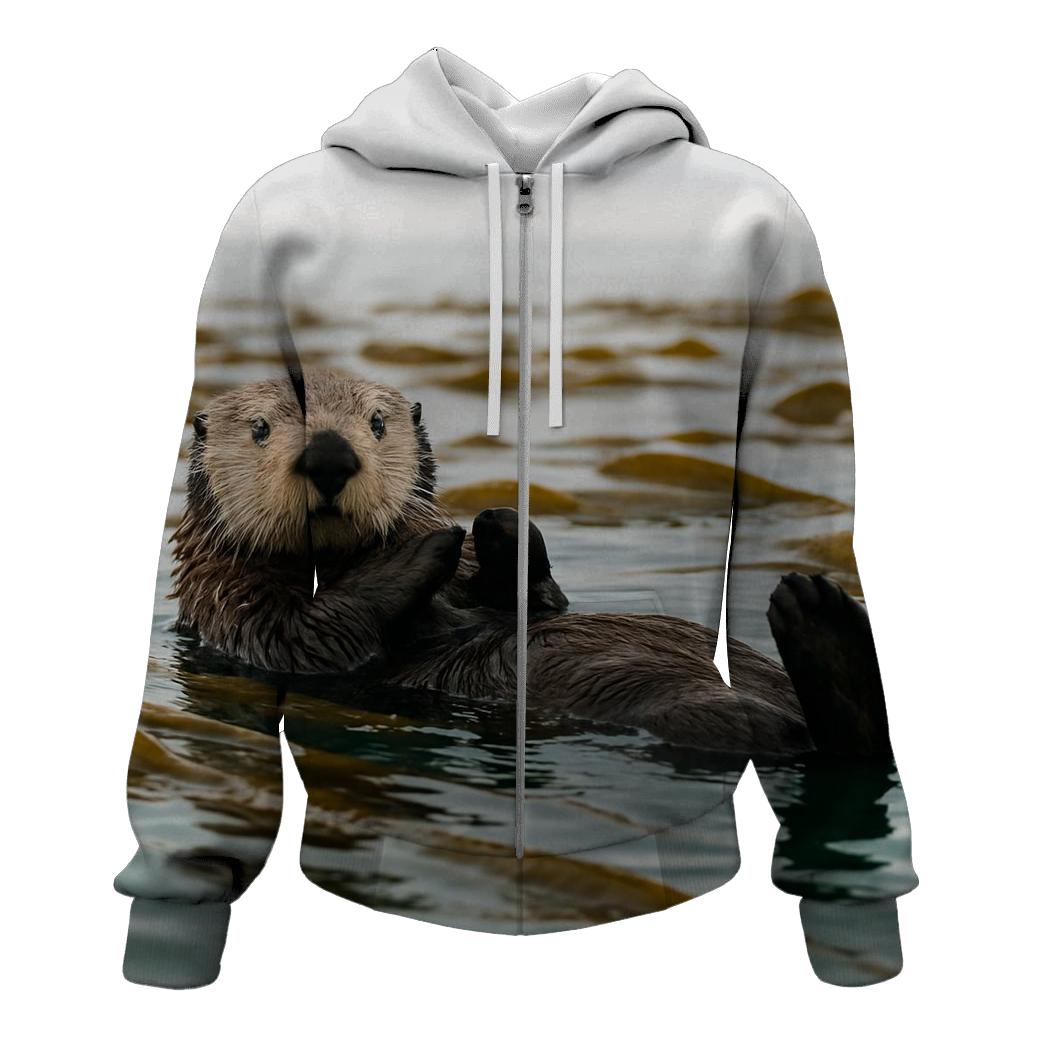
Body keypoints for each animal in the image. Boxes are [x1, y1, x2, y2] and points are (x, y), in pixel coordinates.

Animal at [174, 369, 889, 760]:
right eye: (261, 428)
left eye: (376, 423)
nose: (329, 454)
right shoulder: (236, 608)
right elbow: (314, 638)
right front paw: (426, 547)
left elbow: (542, 600)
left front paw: (498, 527)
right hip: (700, 715)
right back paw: (817, 623)